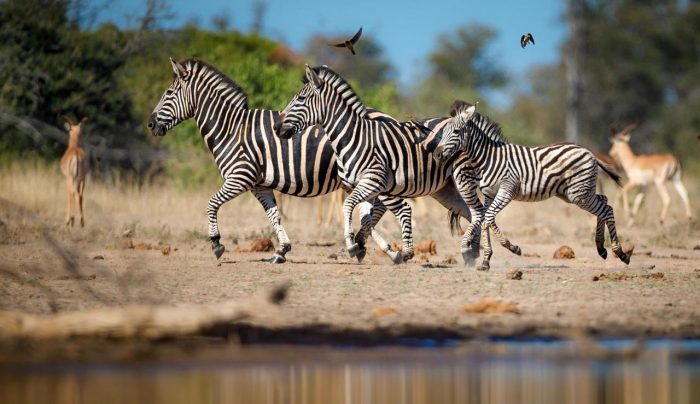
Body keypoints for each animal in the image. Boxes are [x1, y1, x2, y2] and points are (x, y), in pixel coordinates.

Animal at [146, 58, 470, 264]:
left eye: (169, 93)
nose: (150, 124)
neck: (232, 128)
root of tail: (389, 117)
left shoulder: (240, 177)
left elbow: (211, 204)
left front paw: (216, 244)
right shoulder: (259, 184)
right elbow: (274, 215)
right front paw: (282, 250)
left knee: (382, 209)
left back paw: (381, 248)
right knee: (372, 211)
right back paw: (379, 248)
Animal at [276, 65, 524, 266]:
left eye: (300, 99)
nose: (277, 128)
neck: (353, 137)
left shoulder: (372, 181)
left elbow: (348, 207)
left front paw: (354, 246)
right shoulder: (365, 187)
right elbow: (365, 218)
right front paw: (370, 247)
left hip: (463, 180)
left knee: (479, 211)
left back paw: (482, 250)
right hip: (444, 189)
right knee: (473, 213)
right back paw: (474, 252)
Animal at [430, 99, 632, 270]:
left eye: (456, 132)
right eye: (443, 133)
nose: (437, 155)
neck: (488, 158)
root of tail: (589, 152)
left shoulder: (507, 190)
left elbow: (488, 218)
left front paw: (511, 249)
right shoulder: (489, 194)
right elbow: (486, 219)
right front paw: (487, 261)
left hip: (578, 194)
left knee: (607, 210)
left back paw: (620, 253)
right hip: (573, 193)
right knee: (604, 201)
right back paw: (601, 248)